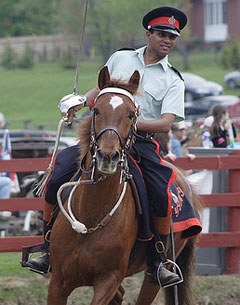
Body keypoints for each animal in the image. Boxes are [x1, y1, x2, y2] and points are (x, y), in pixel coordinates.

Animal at [47, 66, 202, 304]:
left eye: (131, 114)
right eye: (96, 110)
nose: (107, 156)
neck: (90, 215)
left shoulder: (108, 280)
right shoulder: (57, 282)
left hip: (154, 277)